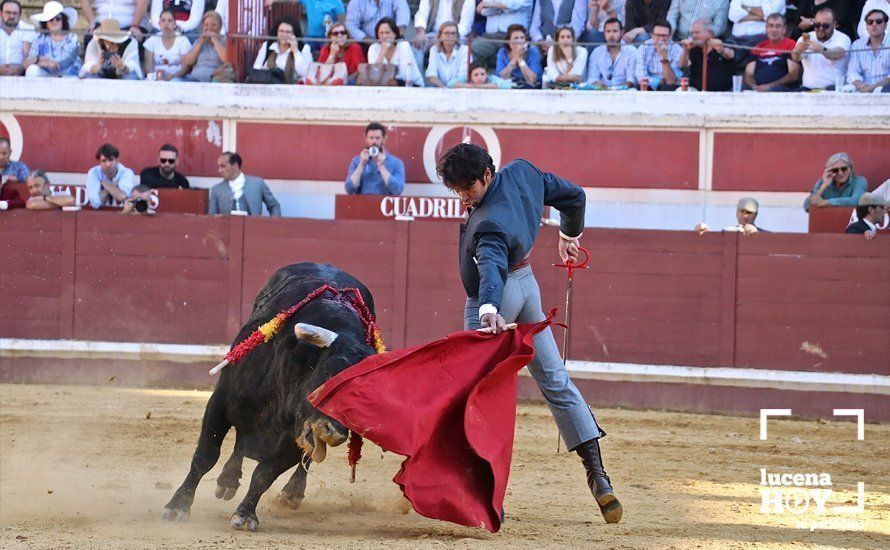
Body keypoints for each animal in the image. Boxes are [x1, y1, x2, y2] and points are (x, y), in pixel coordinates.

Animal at [163, 266, 374, 532]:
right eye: (329, 371)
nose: (334, 432)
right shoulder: (220, 403)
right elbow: (205, 456)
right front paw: (178, 506)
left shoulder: (292, 439)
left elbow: (264, 474)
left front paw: (245, 514)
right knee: (239, 444)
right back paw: (227, 480)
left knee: (303, 460)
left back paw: (291, 492)